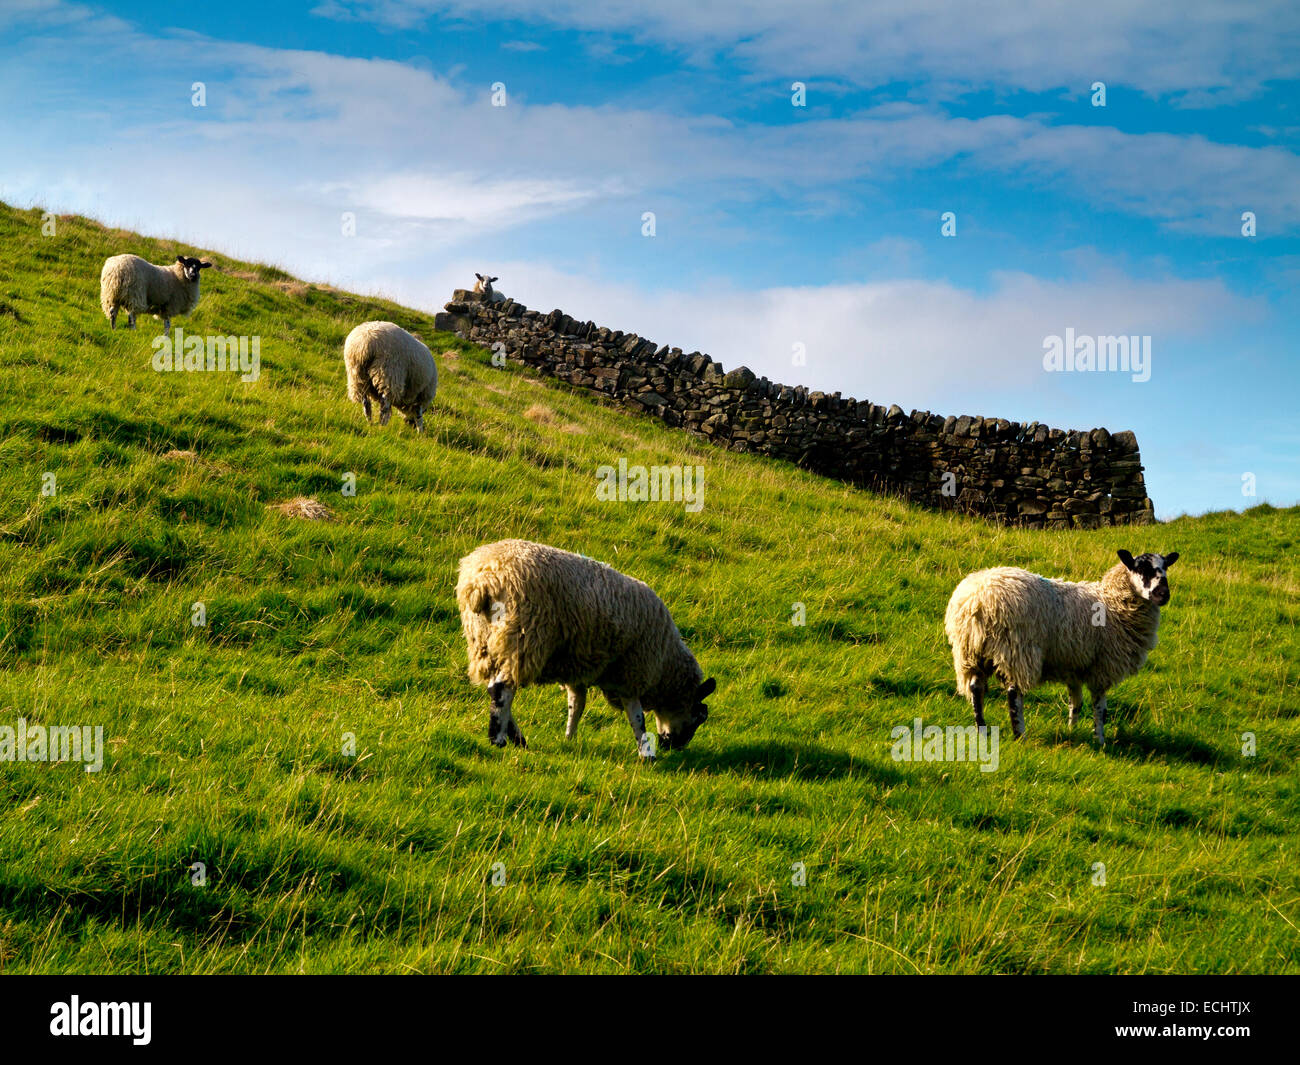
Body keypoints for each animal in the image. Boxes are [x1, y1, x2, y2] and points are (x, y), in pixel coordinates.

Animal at [457, 540, 722, 759]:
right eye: (699, 717)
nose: (674, 747)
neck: (666, 666)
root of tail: (482, 582)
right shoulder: (631, 672)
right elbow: (637, 717)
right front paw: (647, 753)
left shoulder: (580, 672)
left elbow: (577, 705)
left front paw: (569, 738)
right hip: (522, 639)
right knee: (502, 688)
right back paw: (499, 738)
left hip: (486, 643)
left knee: (493, 687)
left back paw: (518, 738)